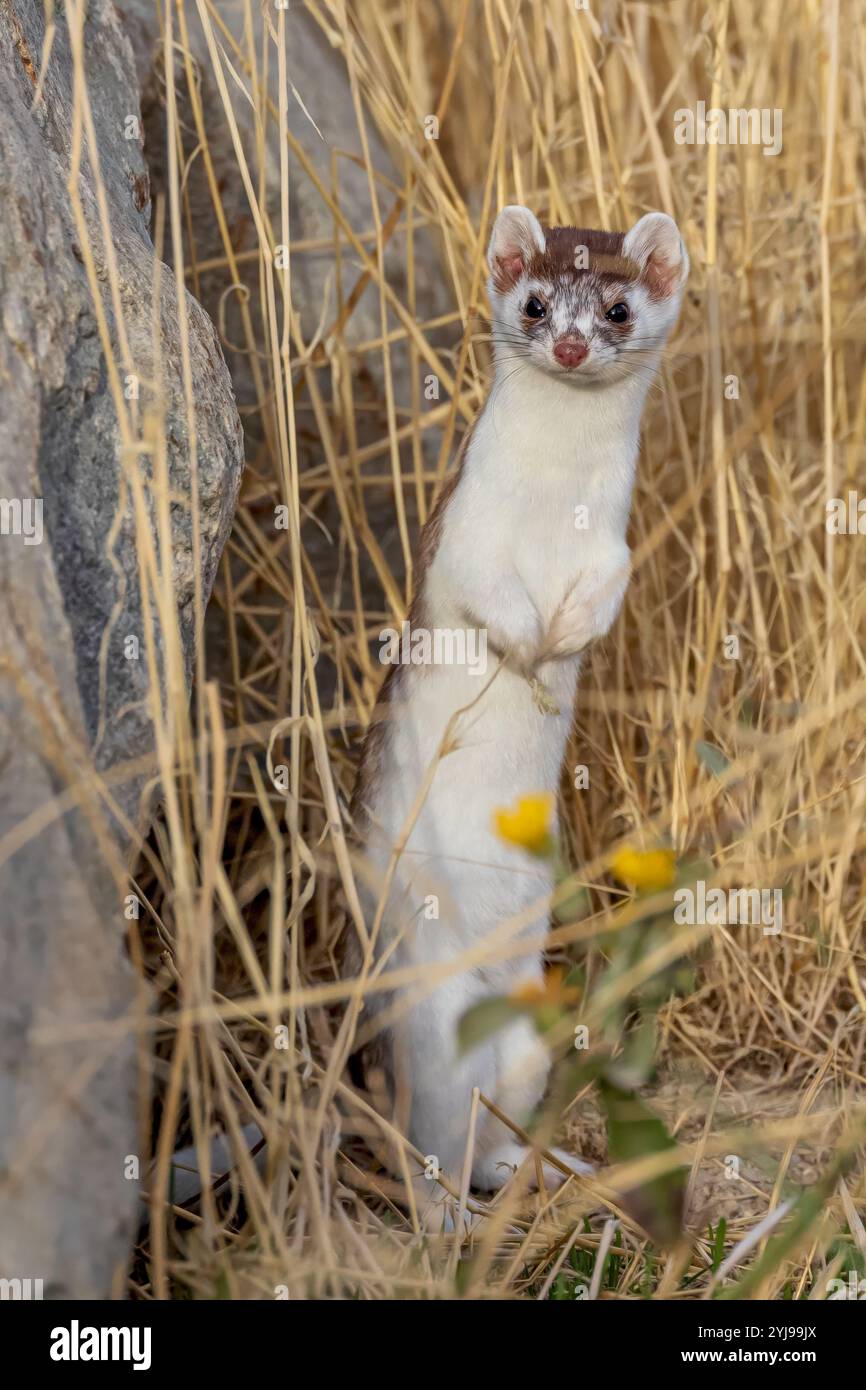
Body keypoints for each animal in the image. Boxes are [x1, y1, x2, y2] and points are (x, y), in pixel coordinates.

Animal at [341, 202, 686, 1206]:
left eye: (616, 307)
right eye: (534, 301)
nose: (569, 344)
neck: (550, 514)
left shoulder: (613, 548)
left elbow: (602, 596)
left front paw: (562, 637)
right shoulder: (465, 539)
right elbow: (488, 594)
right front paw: (529, 645)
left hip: (531, 1030)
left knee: (494, 1131)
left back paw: (548, 1168)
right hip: (426, 1017)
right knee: (425, 1137)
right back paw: (445, 1212)